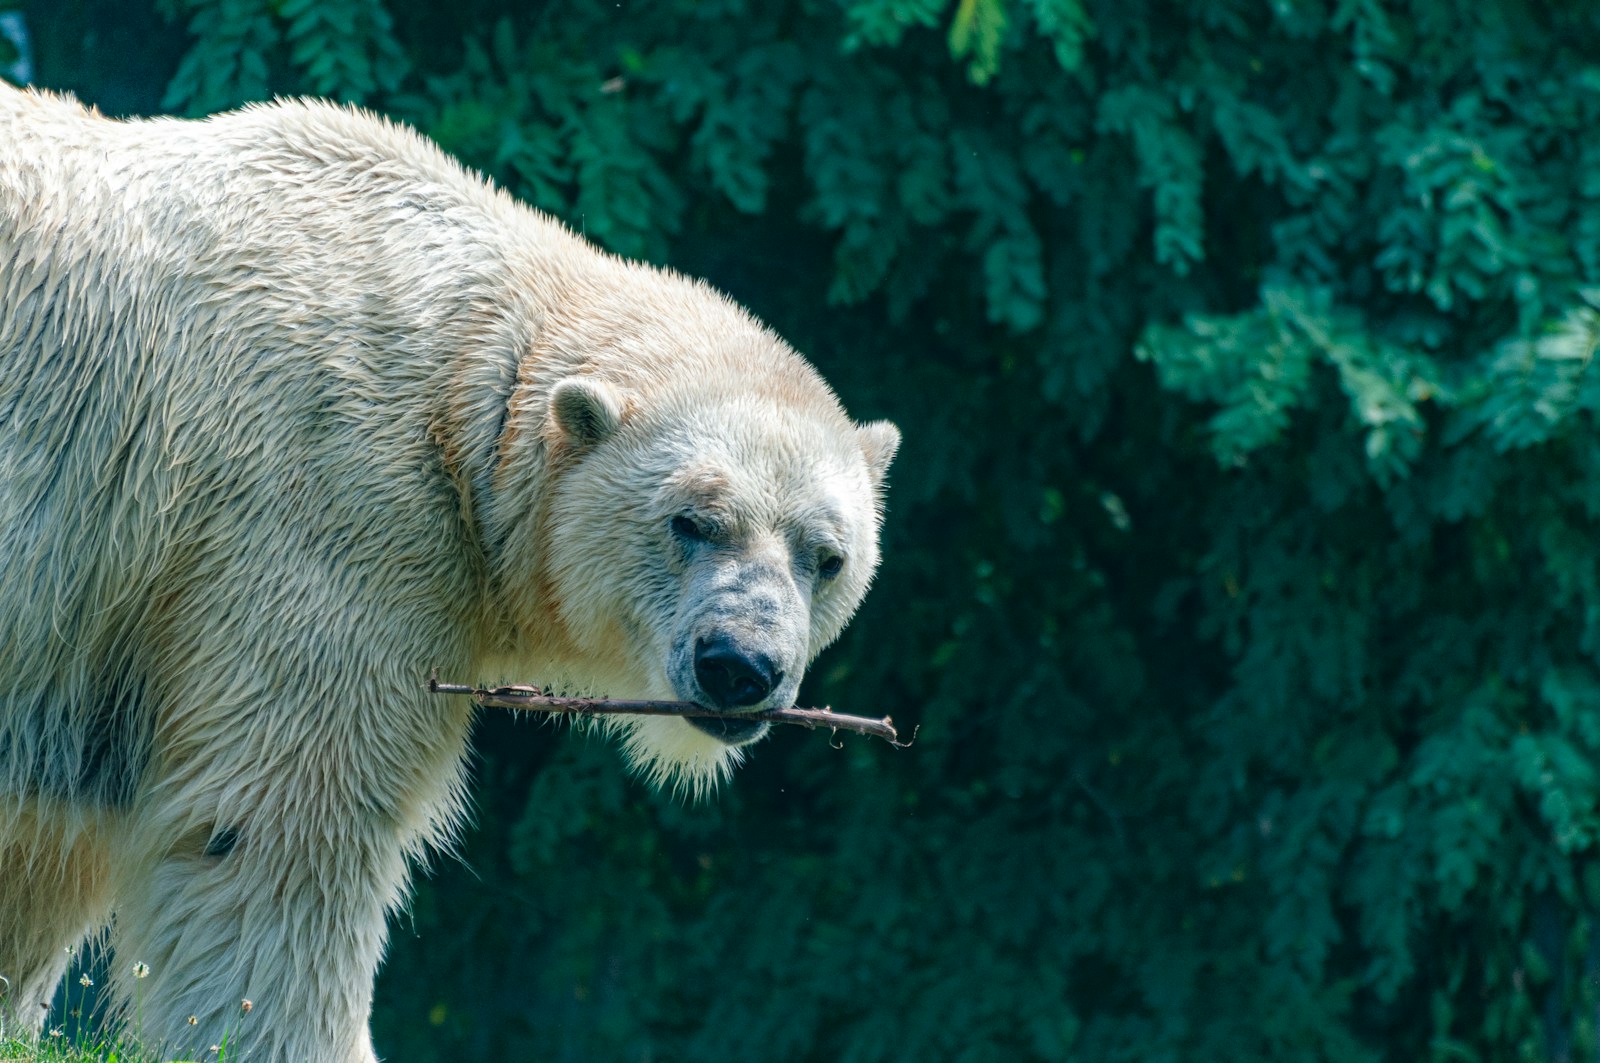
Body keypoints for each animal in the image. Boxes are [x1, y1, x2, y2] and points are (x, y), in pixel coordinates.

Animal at [0, 81, 898, 1062]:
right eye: (690, 522)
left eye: (827, 556)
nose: (740, 665)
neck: (466, 371)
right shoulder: (324, 514)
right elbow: (277, 834)